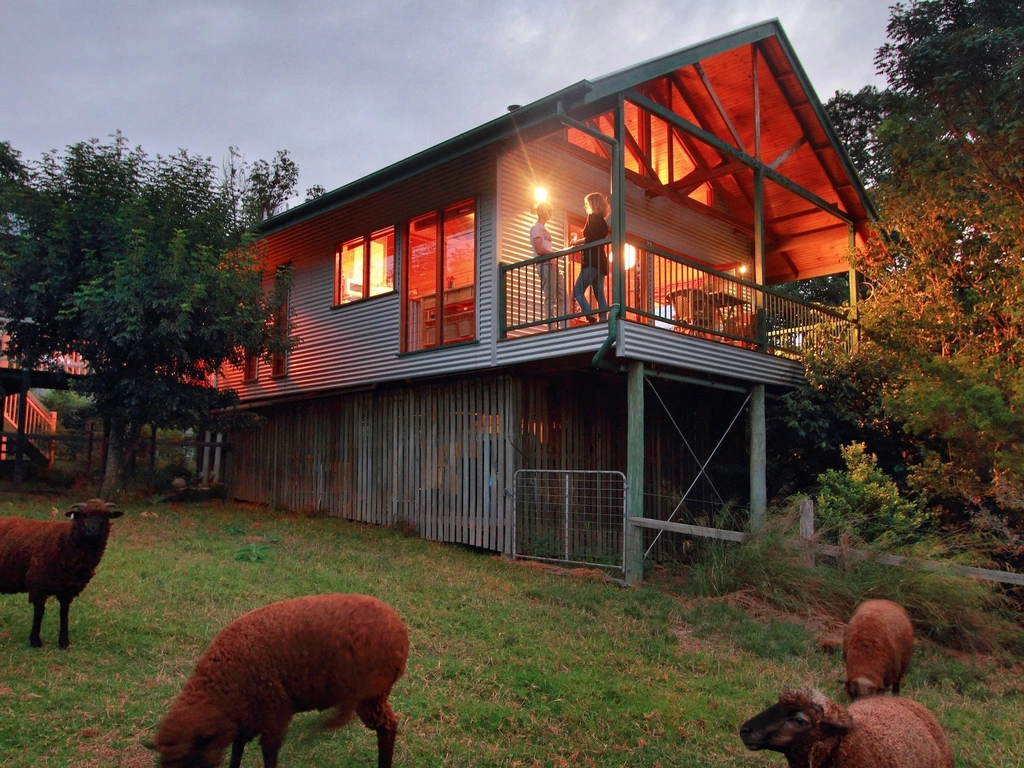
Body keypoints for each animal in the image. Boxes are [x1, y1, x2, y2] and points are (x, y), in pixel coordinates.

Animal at [0, 499, 121, 651]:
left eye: (105, 516)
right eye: (84, 515)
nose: (92, 531)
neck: (64, 542)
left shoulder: (67, 589)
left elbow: (64, 613)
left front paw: (64, 642)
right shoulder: (38, 584)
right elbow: (39, 613)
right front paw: (35, 641)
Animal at [149, 593, 409, 768]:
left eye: (187, 761)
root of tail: (400, 631)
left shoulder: (274, 715)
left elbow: (268, 754)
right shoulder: (248, 717)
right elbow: (237, 748)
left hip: (369, 695)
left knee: (386, 727)